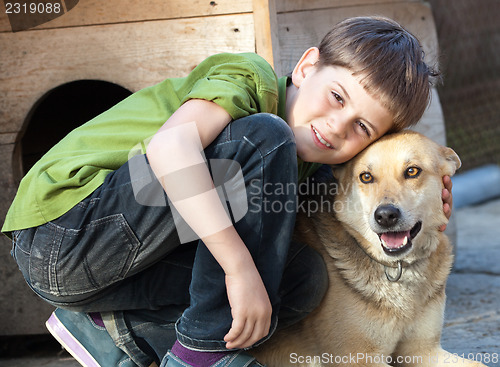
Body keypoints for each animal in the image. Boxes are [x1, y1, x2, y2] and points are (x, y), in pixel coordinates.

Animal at [252, 132, 486, 367]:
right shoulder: (357, 357)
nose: (386, 216)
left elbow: (479, 364)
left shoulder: (422, 349)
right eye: (366, 177)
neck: (396, 267)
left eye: (412, 171)